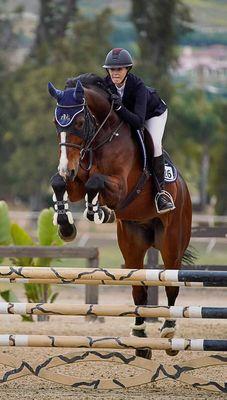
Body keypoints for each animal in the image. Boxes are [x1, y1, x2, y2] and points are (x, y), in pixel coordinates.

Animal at [48, 72, 192, 360]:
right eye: (57, 122)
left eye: (79, 122)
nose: (67, 168)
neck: (102, 136)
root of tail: (184, 190)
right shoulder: (76, 182)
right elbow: (61, 183)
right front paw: (67, 226)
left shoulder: (121, 187)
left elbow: (96, 183)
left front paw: (97, 211)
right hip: (132, 243)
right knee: (138, 287)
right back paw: (140, 338)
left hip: (172, 242)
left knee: (171, 283)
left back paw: (169, 332)